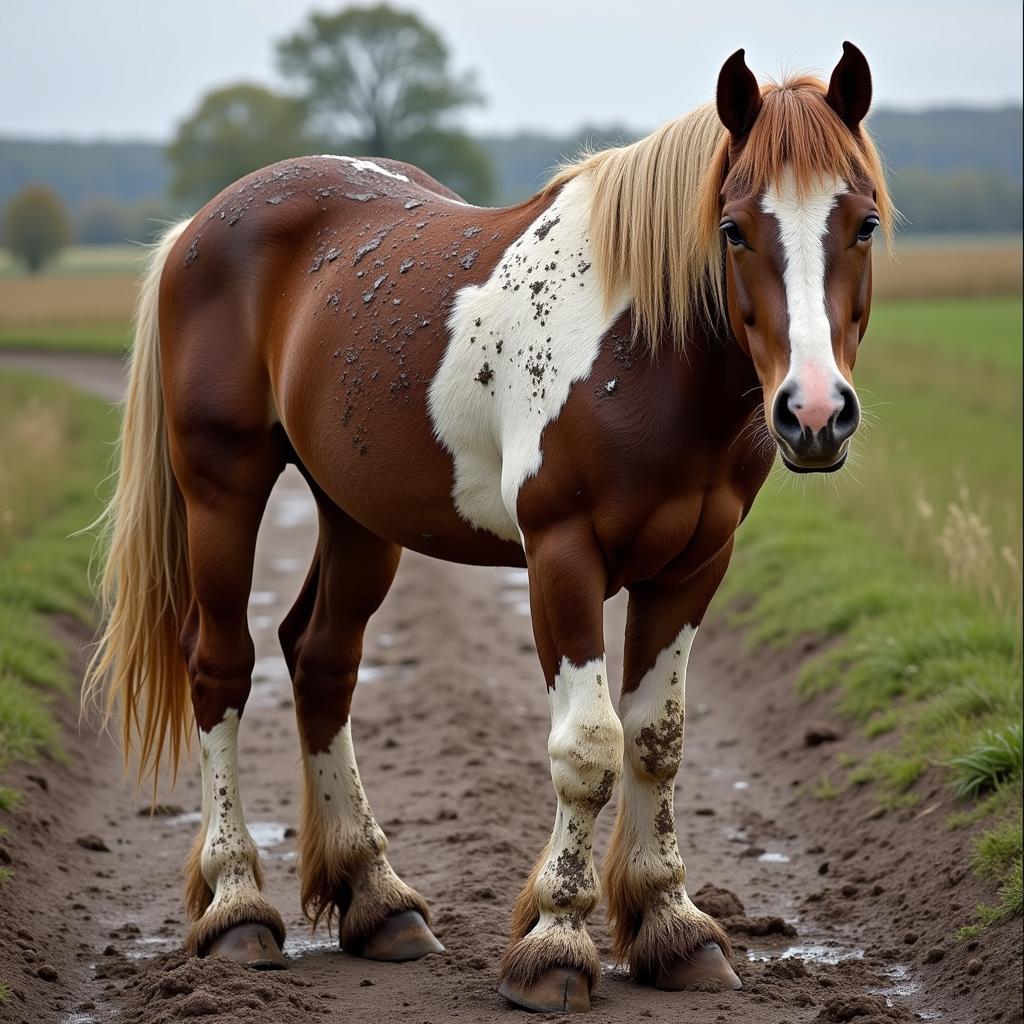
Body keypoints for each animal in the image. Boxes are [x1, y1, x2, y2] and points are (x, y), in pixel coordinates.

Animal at [86, 41, 888, 1015]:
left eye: (864, 223)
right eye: (733, 229)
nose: (813, 414)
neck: (642, 354)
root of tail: (197, 230)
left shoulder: (695, 564)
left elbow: (656, 742)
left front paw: (674, 928)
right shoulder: (561, 556)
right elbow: (589, 749)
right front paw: (556, 944)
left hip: (357, 516)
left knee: (321, 662)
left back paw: (379, 901)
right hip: (223, 491)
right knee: (221, 668)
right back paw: (238, 905)